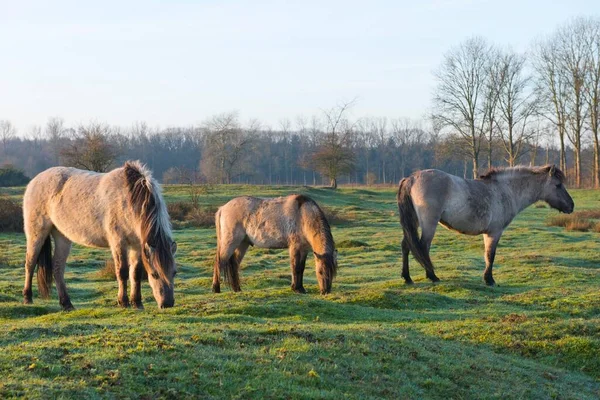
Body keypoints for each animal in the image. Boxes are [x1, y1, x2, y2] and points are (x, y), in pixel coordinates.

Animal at [23, 159, 178, 310]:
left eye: (174, 273)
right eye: (154, 274)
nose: (167, 304)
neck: (130, 199)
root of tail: (34, 181)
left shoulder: (137, 245)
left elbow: (136, 273)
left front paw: (137, 303)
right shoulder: (118, 243)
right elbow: (122, 271)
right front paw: (123, 302)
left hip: (62, 236)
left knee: (57, 268)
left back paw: (67, 304)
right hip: (36, 233)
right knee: (30, 263)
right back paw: (27, 298)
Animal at [396, 164, 576, 286]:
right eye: (558, 185)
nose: (571, 206)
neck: (504, 191)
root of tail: (412, 178)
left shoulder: (487, 233)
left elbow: (487, 255)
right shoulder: (494, 232)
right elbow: (491, 255)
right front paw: (489, 279)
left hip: (415, 222)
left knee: (406, 245)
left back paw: (407, 278)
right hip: (429, 223)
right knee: (423, 247)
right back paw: (432, 276)